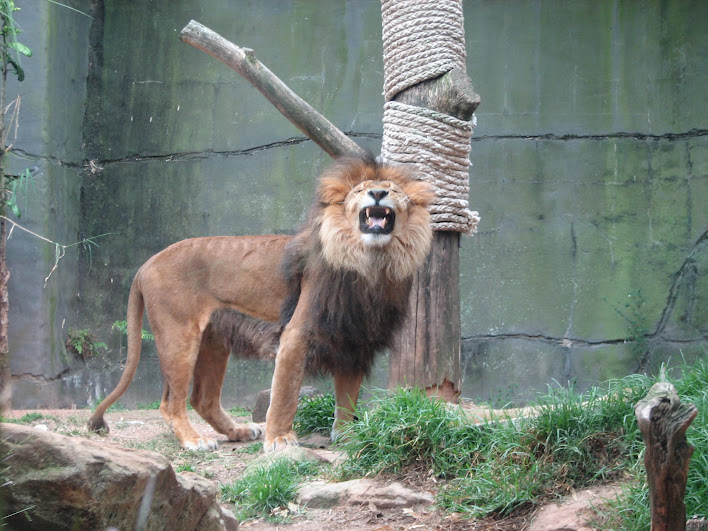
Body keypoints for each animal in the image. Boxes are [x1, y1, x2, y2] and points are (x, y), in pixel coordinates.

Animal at [87, 155, 434, 452]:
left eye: (392, 190)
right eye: (360, 190)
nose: (377, 193)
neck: (371, 264)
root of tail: (146, 264)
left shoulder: (353, 340)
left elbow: (347, 398)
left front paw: (348, 436)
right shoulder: (297, 333)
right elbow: (285, 394)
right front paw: (279, 439)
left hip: (213, 341)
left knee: (203, 399)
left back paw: (239, 431)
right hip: (179, 336)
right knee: (171, 402)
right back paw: (194, 441)